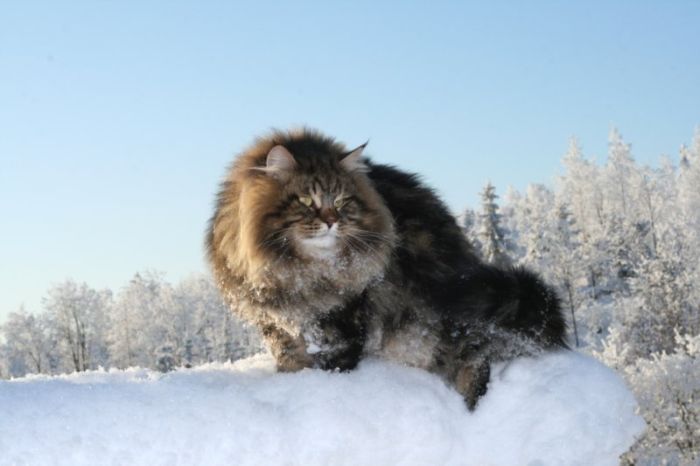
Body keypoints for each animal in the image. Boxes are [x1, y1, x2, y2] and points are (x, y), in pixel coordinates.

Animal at [205, 127, 568, 408]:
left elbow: (339, 360)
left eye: (341, 201)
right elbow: (290, 360)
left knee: (473, 362)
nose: (332, 221)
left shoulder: (347, 317)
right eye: (306, 201)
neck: (305, 275)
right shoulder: (275, 323)